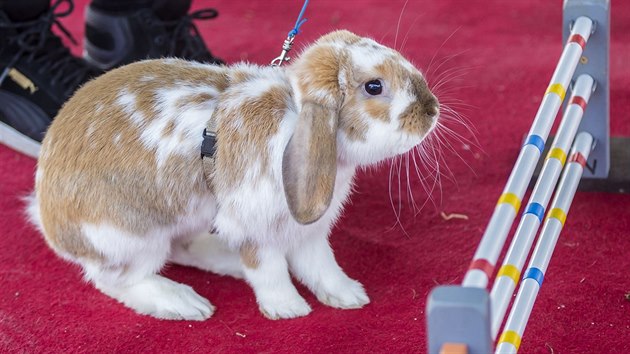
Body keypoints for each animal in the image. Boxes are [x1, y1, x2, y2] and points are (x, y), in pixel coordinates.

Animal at [27, 30, 442, 320]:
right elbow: (268, 269)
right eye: (374, 86)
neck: (295, 119)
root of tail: (49, 216)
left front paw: (348, 296)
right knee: (117, 280)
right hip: (132, 236)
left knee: (181, 248)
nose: (432, 110)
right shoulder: (255, 227)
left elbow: (320, 265)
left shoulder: (306, 231)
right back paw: (183, 303)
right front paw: (287, 308)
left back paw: (226, 263)